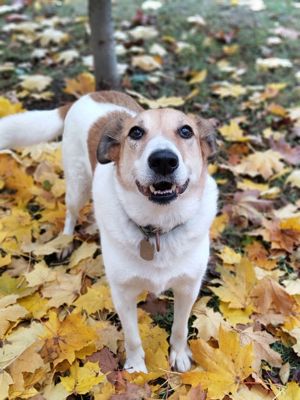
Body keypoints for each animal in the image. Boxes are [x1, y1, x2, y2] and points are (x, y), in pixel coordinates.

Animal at [0, 90, 218, 372]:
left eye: (185, 131)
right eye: (136, 132)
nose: (163, 160)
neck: (158, 228)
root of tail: (90, 95)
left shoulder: (188, 287)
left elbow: (180, 328)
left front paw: (179, 354)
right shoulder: (123, 294)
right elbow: (133, 337)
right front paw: (136, 369)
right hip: (77, 186)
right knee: (71, 214)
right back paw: (66, 241)